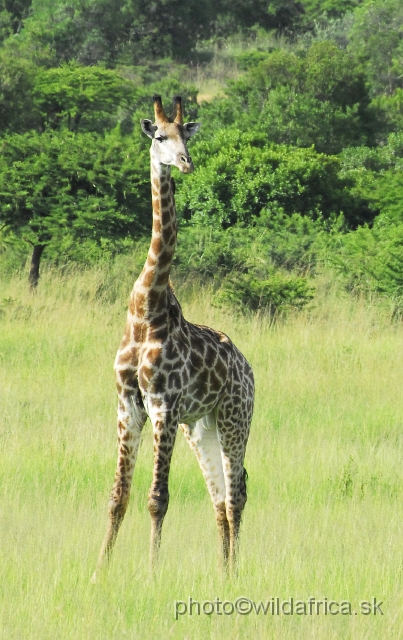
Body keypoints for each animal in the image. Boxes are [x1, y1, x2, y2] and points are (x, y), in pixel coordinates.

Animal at [93, 95, 254, 580]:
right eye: (160, 136)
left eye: (189, 136)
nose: (185, 162)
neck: (145, 310)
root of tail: (248, 367)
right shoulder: (128, 404)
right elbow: (118, 496)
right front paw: (99, 570)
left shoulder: (164, 404)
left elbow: (156, 499)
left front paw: (150, 572)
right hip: (201, 427)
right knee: (219, 497)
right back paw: (222, 570)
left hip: (236, 417)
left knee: (237, 493)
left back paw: (234, 572)